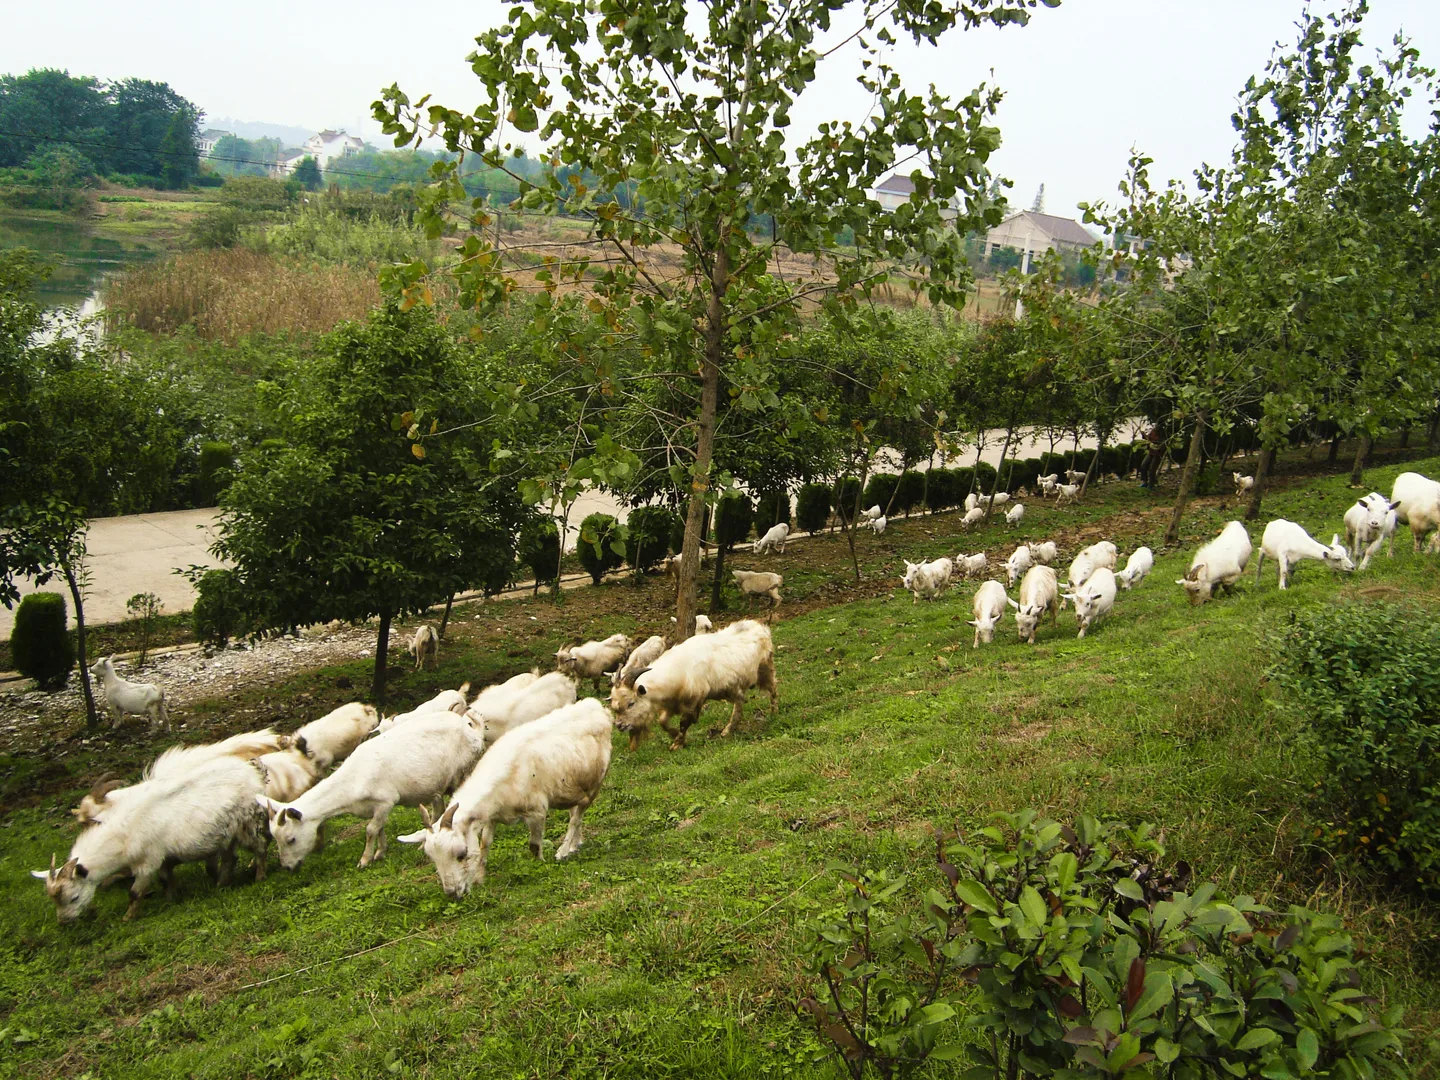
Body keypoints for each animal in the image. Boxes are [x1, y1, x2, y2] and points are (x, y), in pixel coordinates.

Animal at [35, 755, 269, 922]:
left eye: (74, 897)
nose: (64, 922)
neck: (123, 835)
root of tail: (254, 771)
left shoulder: (147, 863)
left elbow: (134, 893)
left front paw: (128, 918)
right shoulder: (163, 858)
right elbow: (165, 879)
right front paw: (171, 899)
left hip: (249, 823)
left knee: (260, 849)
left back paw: (259, 877)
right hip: (227, 835)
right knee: (230, 858)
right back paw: (222, 883)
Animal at [260, 711, 485, 870]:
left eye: (291, 839)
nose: (288, 867)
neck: (352, 782)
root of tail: (473, 731)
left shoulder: (386, 800)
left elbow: (370, 830)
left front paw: (365, 860)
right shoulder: (375, 807)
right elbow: (379, 828)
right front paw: (380, 852)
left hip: (463, 769)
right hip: (436, 784)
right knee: (438, 807)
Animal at [398, 699, 613, 896]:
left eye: (461, 854)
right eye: (433, 858)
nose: (452, 893)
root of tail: (598, 708)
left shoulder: (537, 810)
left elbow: (534, 845)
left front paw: (539, 865)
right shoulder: (491, 817)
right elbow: (484, 845)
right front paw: (479, 878)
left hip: (595, 784)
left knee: (576, 817)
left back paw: (563, 850)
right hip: (572, 785)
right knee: (574, 813)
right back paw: (575, 844)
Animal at [609, 619, 777, 751]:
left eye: (631, 703)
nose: (619, 725)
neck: (680, 669)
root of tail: (760, 626)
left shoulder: (694, 700)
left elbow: (684, 722)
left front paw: (677, 743)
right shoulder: (672, 704)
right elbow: (663, 722)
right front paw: (676, 736)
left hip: (765, 668)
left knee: (773, 689)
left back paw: (773, 712)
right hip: (735, 687)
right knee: (739, 703)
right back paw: (728, 730)